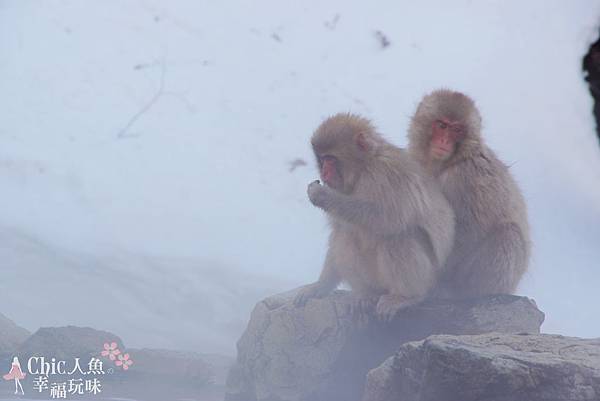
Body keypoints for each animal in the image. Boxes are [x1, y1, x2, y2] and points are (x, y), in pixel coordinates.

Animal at [296, 114, 454, 320]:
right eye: (322, 160)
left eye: (330, 159)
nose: (324, 172)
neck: (364, 168)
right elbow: (340, 229)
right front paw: (319, 286)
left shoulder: (387, 173)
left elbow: (389, 218)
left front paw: (322, 195)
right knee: (344, 236)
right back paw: (366, 294)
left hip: (429, 279)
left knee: (398, 235)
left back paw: (406, 296)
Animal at [408, 90, 528, 296]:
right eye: (442, 125)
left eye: (457, 130)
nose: (444, 141)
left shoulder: (468, 176)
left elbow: (468, 231)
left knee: (509, 234)